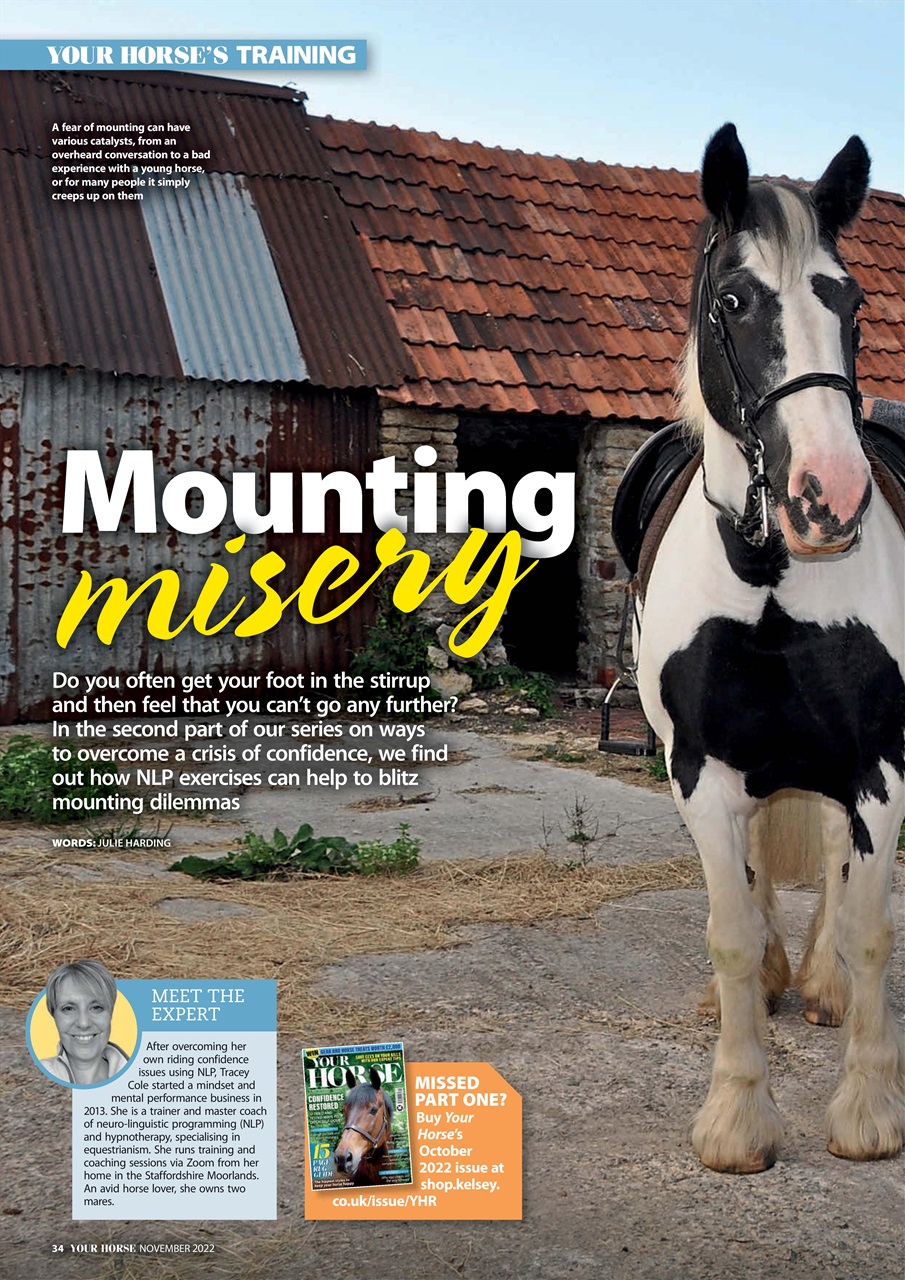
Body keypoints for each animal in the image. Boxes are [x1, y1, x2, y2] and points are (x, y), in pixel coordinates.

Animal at [634, 123, 905, 1174]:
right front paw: (737, 1116)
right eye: (733, 300)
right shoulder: (701, 773)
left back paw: (823, 984)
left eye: (851, 300)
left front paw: (867, 1110)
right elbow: (733, 934)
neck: (768, 578)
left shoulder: (877, 767)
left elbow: (870, 930)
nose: (828, 495)